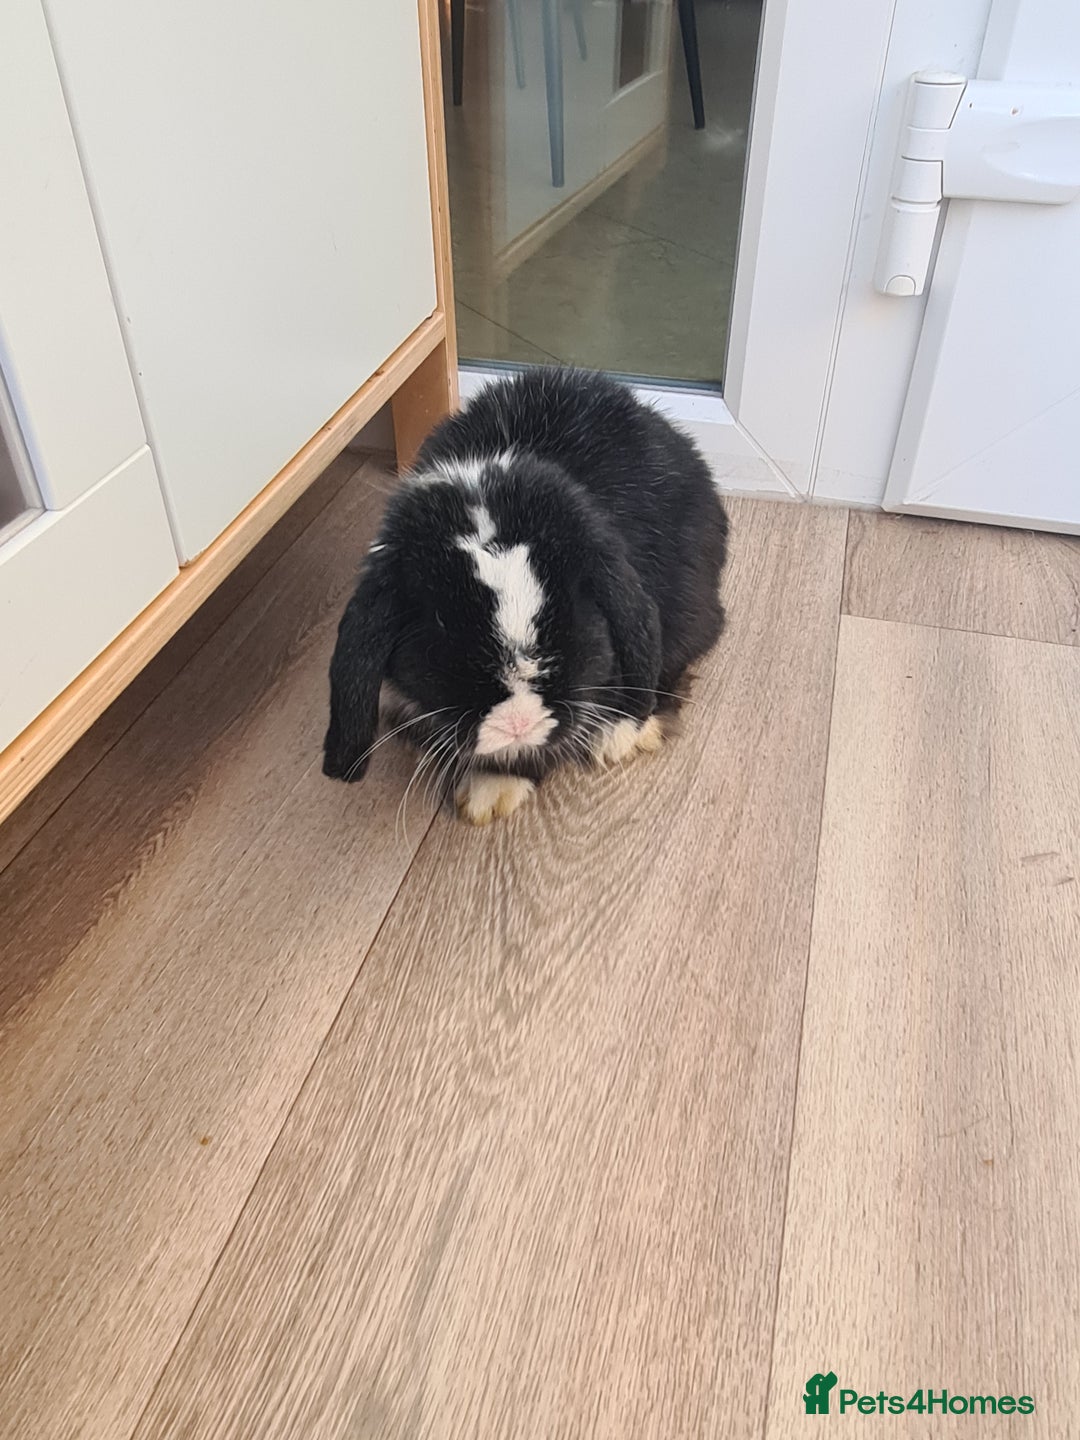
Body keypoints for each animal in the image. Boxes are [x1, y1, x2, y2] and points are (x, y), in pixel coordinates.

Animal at [323, 367, 729, 825]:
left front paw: (489, 792)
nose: (517, 723)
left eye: (575, 627)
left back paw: (622, 734)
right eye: (440, 639)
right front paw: (488, 791)